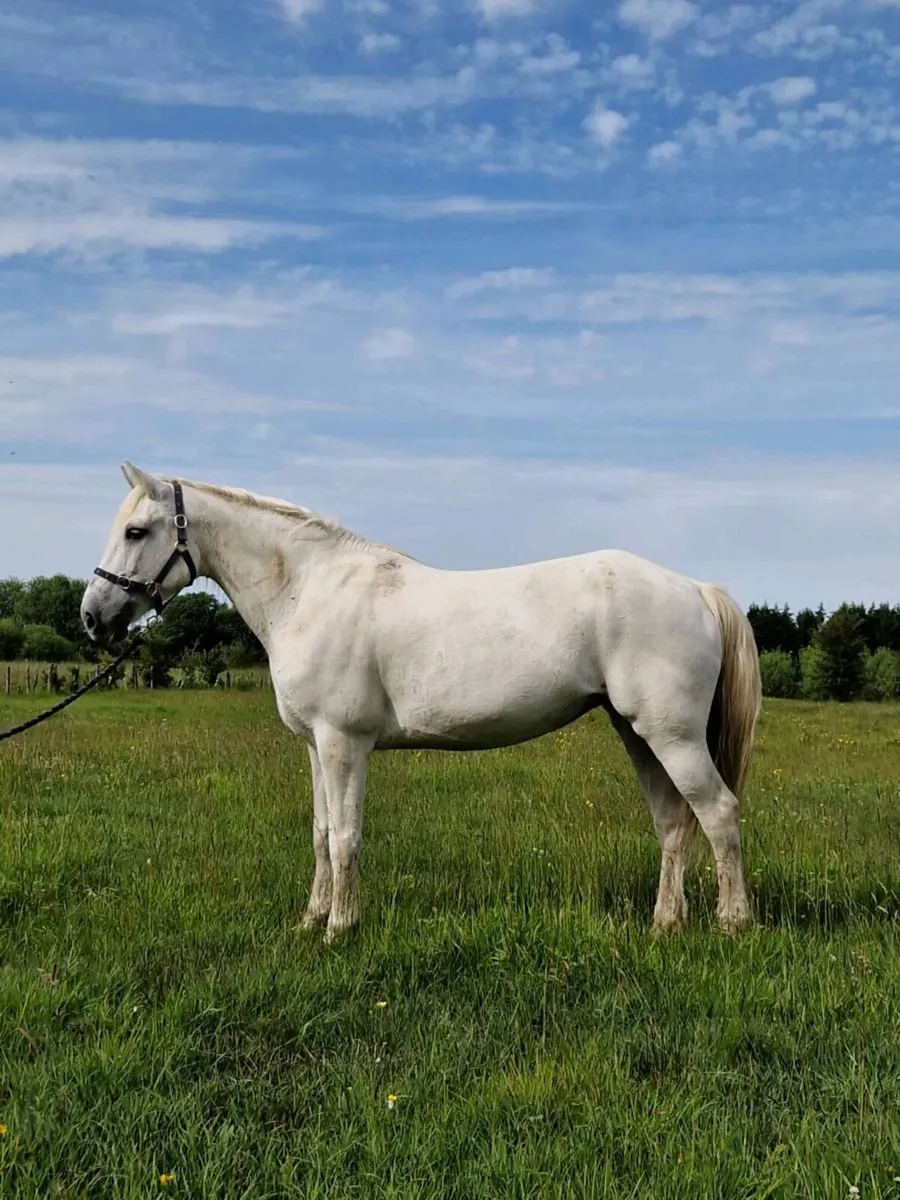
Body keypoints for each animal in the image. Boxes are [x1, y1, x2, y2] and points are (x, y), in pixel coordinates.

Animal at [80, 461, 762, 941]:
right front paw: (311, 919)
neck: (310, 591)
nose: (93, 618)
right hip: (637, 731)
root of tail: (695, 589)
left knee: (718, 813)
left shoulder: (344, 744)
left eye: (137, 531)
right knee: (673, 821)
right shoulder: (315, 747)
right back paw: (664, 923)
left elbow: (346, 836)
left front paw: (340, 929)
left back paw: (732, 922)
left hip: (672, 736)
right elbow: (321, 834)